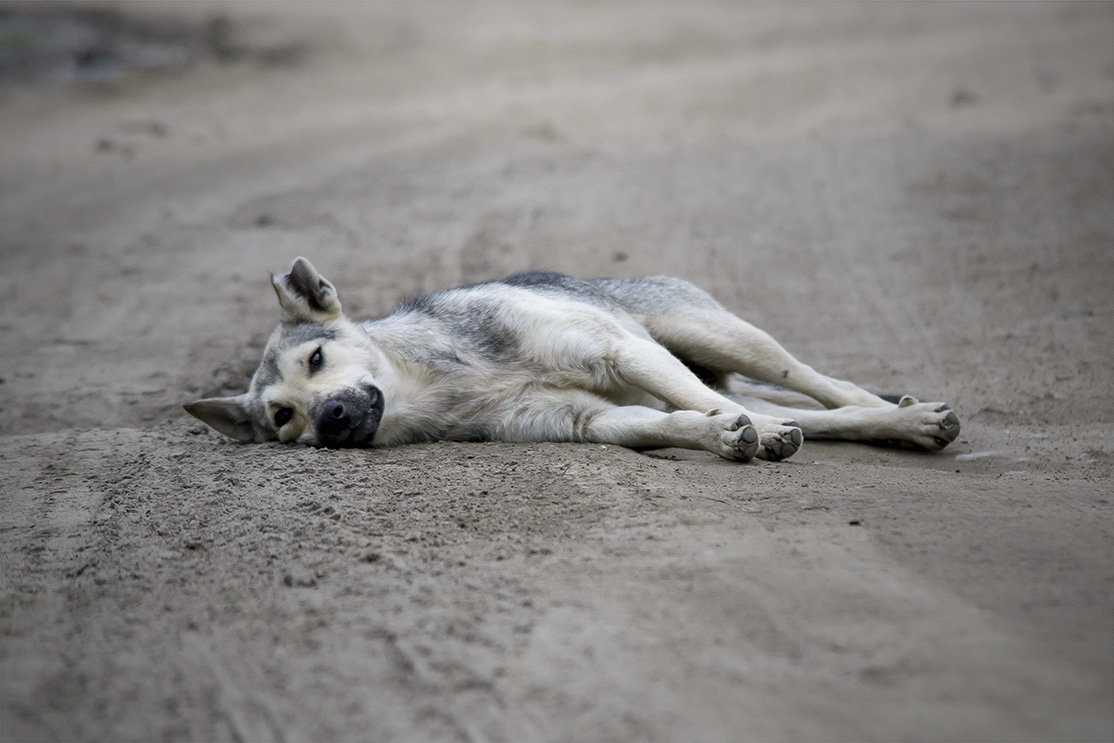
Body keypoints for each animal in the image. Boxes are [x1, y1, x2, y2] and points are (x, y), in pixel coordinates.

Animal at [182, 258, 958, 461]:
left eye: (317, 357)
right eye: (283, 418)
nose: (334, 418)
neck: (443, 380)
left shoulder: (623, 353)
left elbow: (702, 403)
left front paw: (748, 433)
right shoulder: (588, 421)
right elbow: (679, 421)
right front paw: (723, 437)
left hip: (720, 337)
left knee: (829, 385)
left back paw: (906, 413)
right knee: (824, 415)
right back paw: (904, 425)